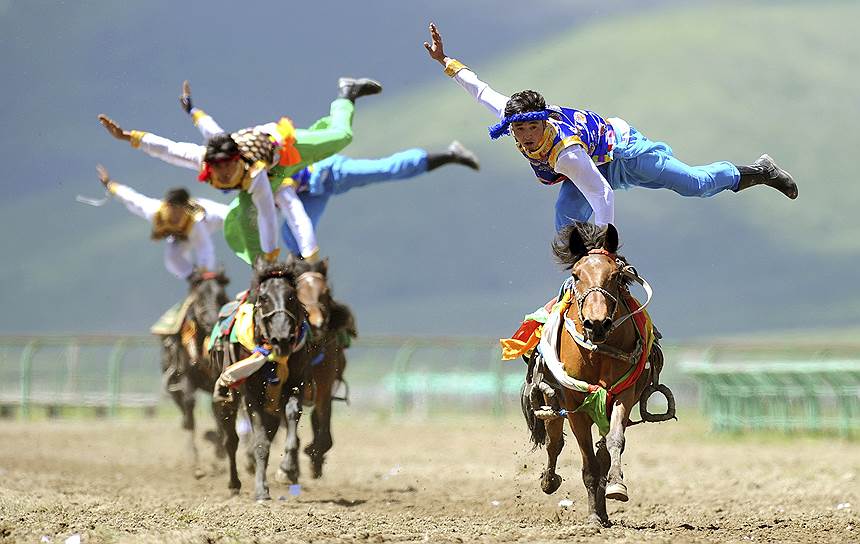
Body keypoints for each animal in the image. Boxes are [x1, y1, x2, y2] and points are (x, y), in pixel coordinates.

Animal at [155, 268, 228, 476]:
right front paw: (195, 462)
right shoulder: (186, 376)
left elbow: (218, 409)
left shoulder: (217, 379)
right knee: (186, 414)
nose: (212, 321)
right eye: (200, 296)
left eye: (220, 296)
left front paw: (220, 452)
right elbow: (189, 407)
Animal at [207, 256, 310, 502]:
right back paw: (234, 483)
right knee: (230, 440)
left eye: (291, 296)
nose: (281, 338)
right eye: (263, 298)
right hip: (226, 396)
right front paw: (261, 491)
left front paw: (286, 470)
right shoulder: (251, 393)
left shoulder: (296, 383)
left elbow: (292, 416)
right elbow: (260, 442)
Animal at [520, 222, 668, 528]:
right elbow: (586, 458)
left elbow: (613, 442)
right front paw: (592, 517)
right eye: (577, 274)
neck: (597, 352)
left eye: (615, 275)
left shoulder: (622, 395)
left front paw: (616, 487)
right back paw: (550, 481)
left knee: (601, 449)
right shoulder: (575, 404)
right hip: (553, 402)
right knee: (554, 442)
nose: (596, 323)